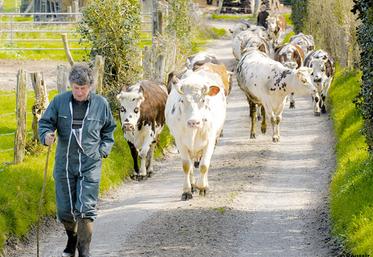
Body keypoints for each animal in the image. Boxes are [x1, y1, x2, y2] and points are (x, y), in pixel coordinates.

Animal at [166, 67, 227, 198]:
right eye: (182, 100)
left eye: (203, 100)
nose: (193, 122)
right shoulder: (180, 142)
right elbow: (186, 166)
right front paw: (187, 190)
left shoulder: (210, 141)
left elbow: (204, 165)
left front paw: (203, 187)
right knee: (191, 165)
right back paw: (193, 185)